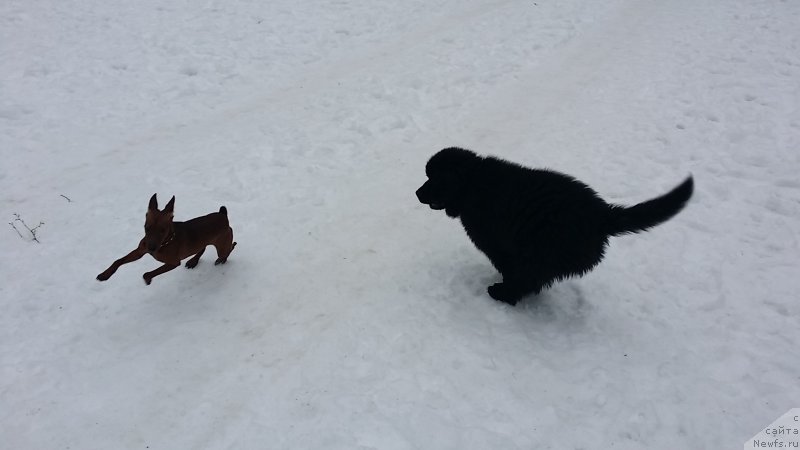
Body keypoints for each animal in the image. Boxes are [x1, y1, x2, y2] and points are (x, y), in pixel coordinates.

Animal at [95, 193, 236, 284]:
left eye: (162, 230)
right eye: (147, 227)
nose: (151, 248)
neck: (165, 243)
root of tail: (223, 215)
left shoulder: (173, 263)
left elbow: (147, 273)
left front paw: (148, 279)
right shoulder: (140, 251)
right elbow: (118, 261)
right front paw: (104, 275)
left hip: (222, 246)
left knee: (230, 248)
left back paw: (221, 260)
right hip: (203, 241)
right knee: (202, 248)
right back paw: (193, 261)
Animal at [418, 148, 692, 306]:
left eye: (434, 178)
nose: (416, 192)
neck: (472, 183)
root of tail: (601, 214)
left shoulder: (495, 242)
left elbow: (508, 265)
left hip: (541, 252)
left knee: (527, 277)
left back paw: (502, 293)